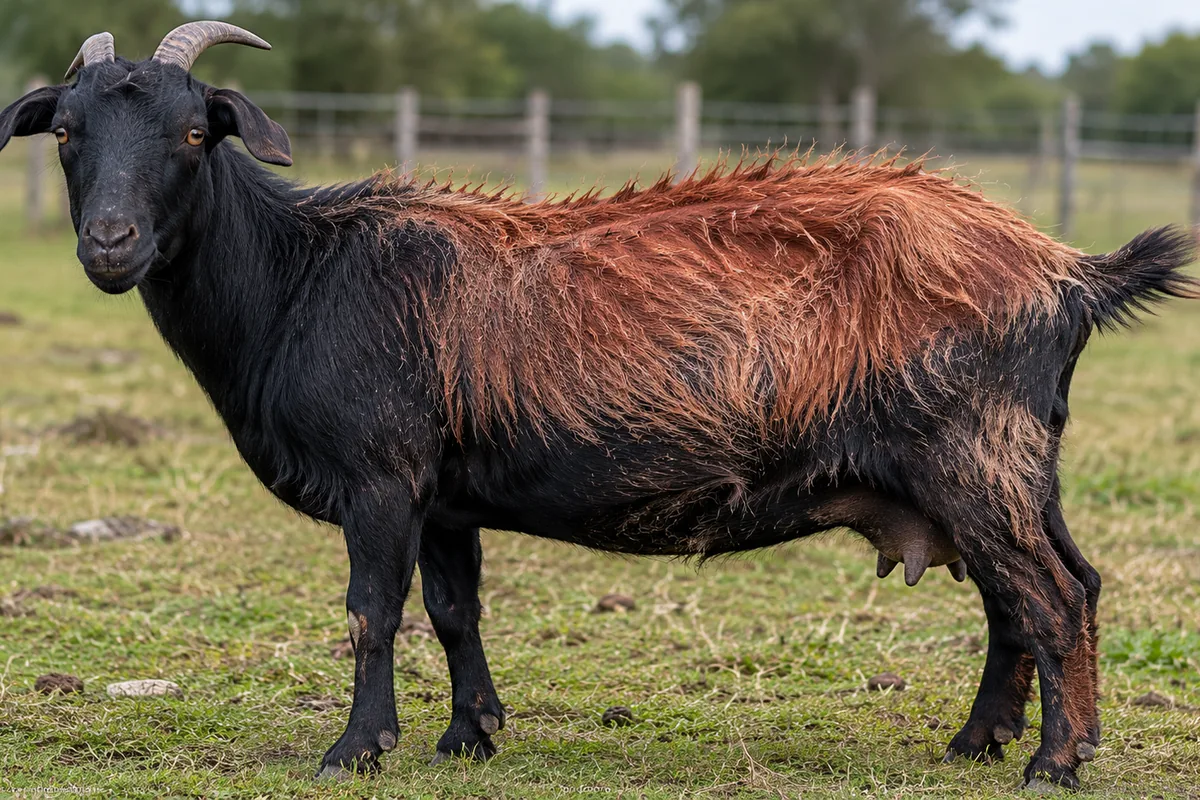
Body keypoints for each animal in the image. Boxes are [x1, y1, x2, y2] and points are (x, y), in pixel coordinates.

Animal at [1, 22, 1196, 790]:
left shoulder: (383, 477)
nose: (109, 244)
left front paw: (355, 750)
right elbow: (454, 611)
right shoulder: (446, 493)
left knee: (1050, 594)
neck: (302, 273)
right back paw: (977, 744)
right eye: (65, 133)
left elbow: (372, 611)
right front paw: (470, 737)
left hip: (972, 450)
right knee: (1033, 592)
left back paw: (1054, 761)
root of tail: (1063, 269)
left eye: (194, 133)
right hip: (995, 462)